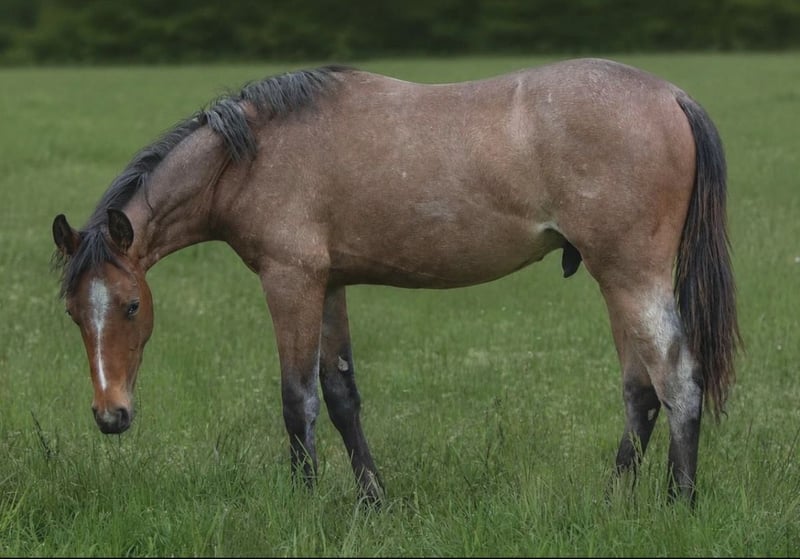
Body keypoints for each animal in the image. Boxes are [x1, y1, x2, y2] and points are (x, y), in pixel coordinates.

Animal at [52, 58, 740, 506]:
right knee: (641, 392)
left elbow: (297, 401)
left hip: (630, 276)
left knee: (677, 379)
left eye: (131, 305)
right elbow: (341, 396)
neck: (250, 158)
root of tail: (671, 96)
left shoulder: (290, 283)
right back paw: (614, 500)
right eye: (74, 313)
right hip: (615, 280)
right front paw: (372, 500)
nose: (111, 416)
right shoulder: (329, 285)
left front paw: (303, 506)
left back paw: (678, 505)